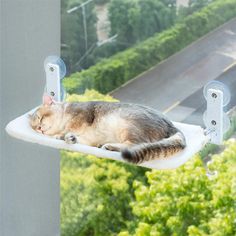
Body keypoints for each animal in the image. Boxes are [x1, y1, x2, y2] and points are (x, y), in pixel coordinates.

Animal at [29, 95, 186, 163]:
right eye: (34, 128)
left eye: (40, 118)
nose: (39, 129)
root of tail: (172, 126)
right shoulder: (86, 140)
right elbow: (74, 138)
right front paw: (68, 138)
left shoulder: (81, 115)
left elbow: (70, 127)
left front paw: (62, 135)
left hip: (128, 127)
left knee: (134, 144)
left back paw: (109, 146)